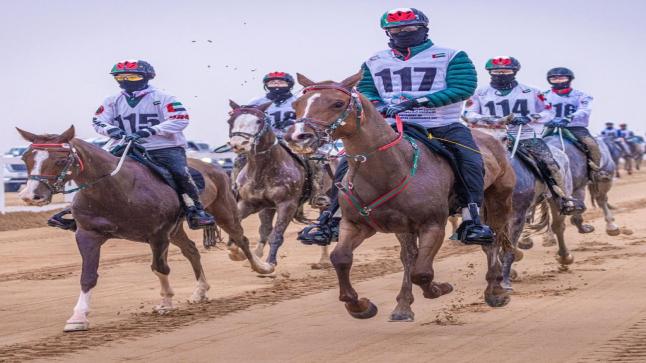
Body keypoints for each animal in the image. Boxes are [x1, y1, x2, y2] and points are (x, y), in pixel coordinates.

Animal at [15, 126, 274, 332]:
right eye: (26, 158)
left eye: (60, 159)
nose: (31, 196)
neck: (114, 189)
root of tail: (213, 167)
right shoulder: (87, 235)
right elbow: (87, 276)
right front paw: (78, 317)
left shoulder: (158, 234)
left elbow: (159, 267)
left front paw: (166, 302)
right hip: (177, 230)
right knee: (191, 250)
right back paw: (200, 291)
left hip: (224, 212)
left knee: (240, 238)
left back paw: (262, 267)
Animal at [228, 101, 332, 266]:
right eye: (230, 121)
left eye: (258, 121)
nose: (239, 144)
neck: (264, 170)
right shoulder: (248, 203)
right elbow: (240, 227)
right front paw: (238, 253)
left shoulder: (287, 205)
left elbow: (276, 235)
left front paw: (270, 263)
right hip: (268, 207)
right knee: (265, 229)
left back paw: (324, 260)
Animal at [286, 73, 520, 322]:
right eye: (296, 105)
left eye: (338, 103)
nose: (297, 137)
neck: (390, 169)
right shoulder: (357, 225)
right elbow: (341, 258)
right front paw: (360, 306)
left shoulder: (433, 225)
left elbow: (422, 273)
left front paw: (439, 288)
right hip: (403, 227)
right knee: (409, 256)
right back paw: (403, 307)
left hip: (498, 201)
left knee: (492, 240)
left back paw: (495, 290)